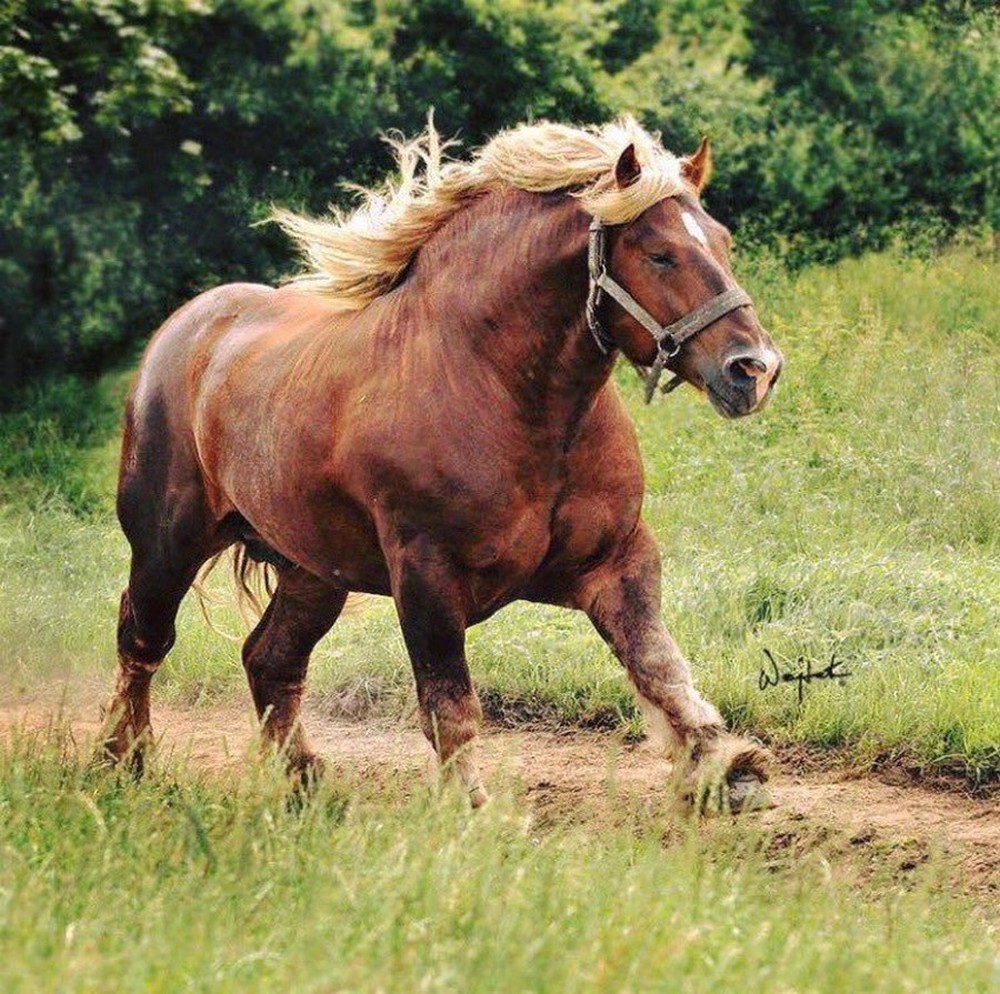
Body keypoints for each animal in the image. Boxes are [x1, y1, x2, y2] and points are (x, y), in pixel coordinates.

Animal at [105, 120, 784, 808]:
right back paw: (123, 762)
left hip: (312, 570)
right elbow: (449, 704)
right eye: (659, 254)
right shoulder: (426, 577)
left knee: (269, 659)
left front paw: (724, 764)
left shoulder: (617, 560)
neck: (503, 392)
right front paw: (476, 810)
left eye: (722, 241)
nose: (754, 369)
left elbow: (658, 666)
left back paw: (305, 783)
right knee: (142, 641)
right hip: (168, 544)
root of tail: (182, 331)